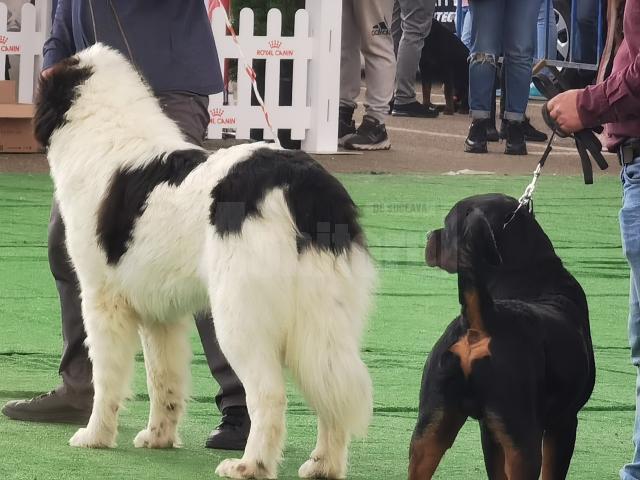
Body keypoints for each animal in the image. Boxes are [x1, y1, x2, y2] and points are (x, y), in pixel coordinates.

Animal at [35, 43, 376, 478]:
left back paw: (248, 464)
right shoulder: (160, 315)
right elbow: (163, 377)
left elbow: (107, 378)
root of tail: (302, 184)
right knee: (332, 388)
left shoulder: (101, 299)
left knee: (269, 394)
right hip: (325, 318)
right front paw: (158, 438)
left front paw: (94, 436)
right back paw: (322, 465)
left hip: (238, 316)